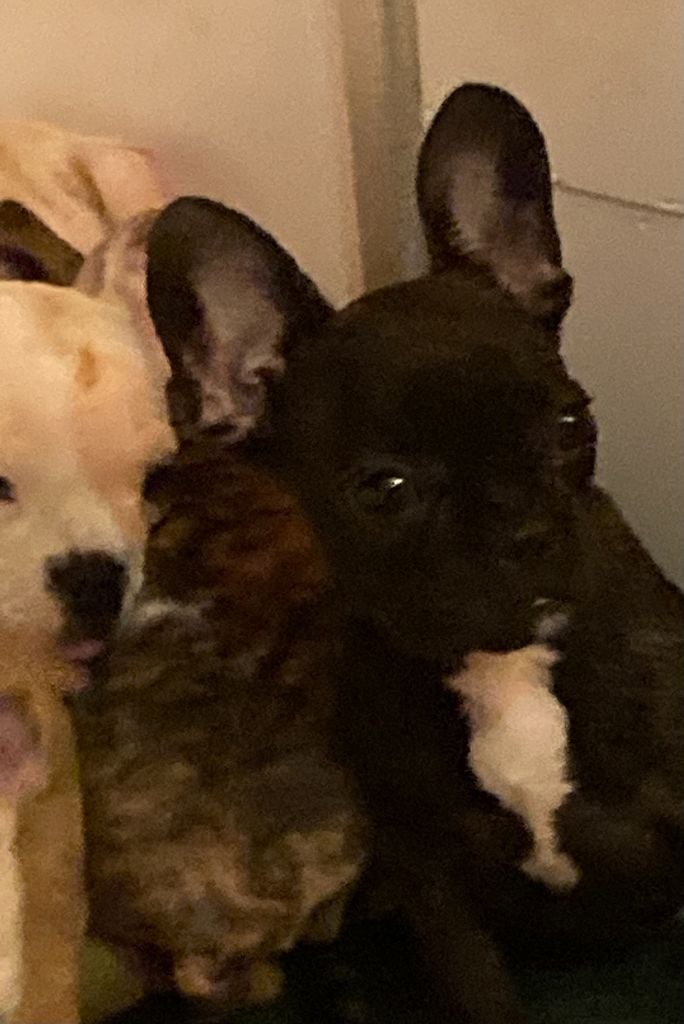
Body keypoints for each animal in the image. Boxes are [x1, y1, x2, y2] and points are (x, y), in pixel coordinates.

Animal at [133, 83, 684, 1023]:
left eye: (570, 424)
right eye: (384, 490)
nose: (527, 531)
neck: (506, 669)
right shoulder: (434, 886)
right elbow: (478, 987)